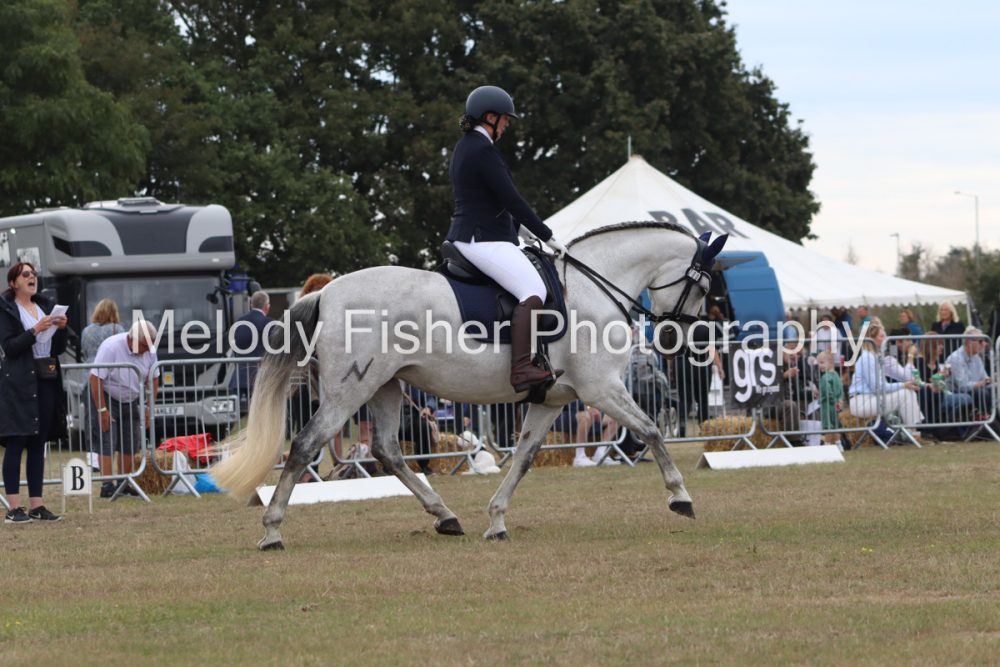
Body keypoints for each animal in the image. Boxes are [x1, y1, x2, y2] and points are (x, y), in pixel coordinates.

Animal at [212, 222, 727, 550]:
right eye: (703, 287)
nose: (679, 340)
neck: (592, 288)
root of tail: (325, 292)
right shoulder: (600, 390)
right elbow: (653, 431)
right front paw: (681, 497)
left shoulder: (551, 400)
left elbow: (523, 457)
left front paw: (496, 521)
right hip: (347, 393)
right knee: (304, 446)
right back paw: (272, 532)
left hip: (384, 388)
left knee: (387, 450)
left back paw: (446, 516)